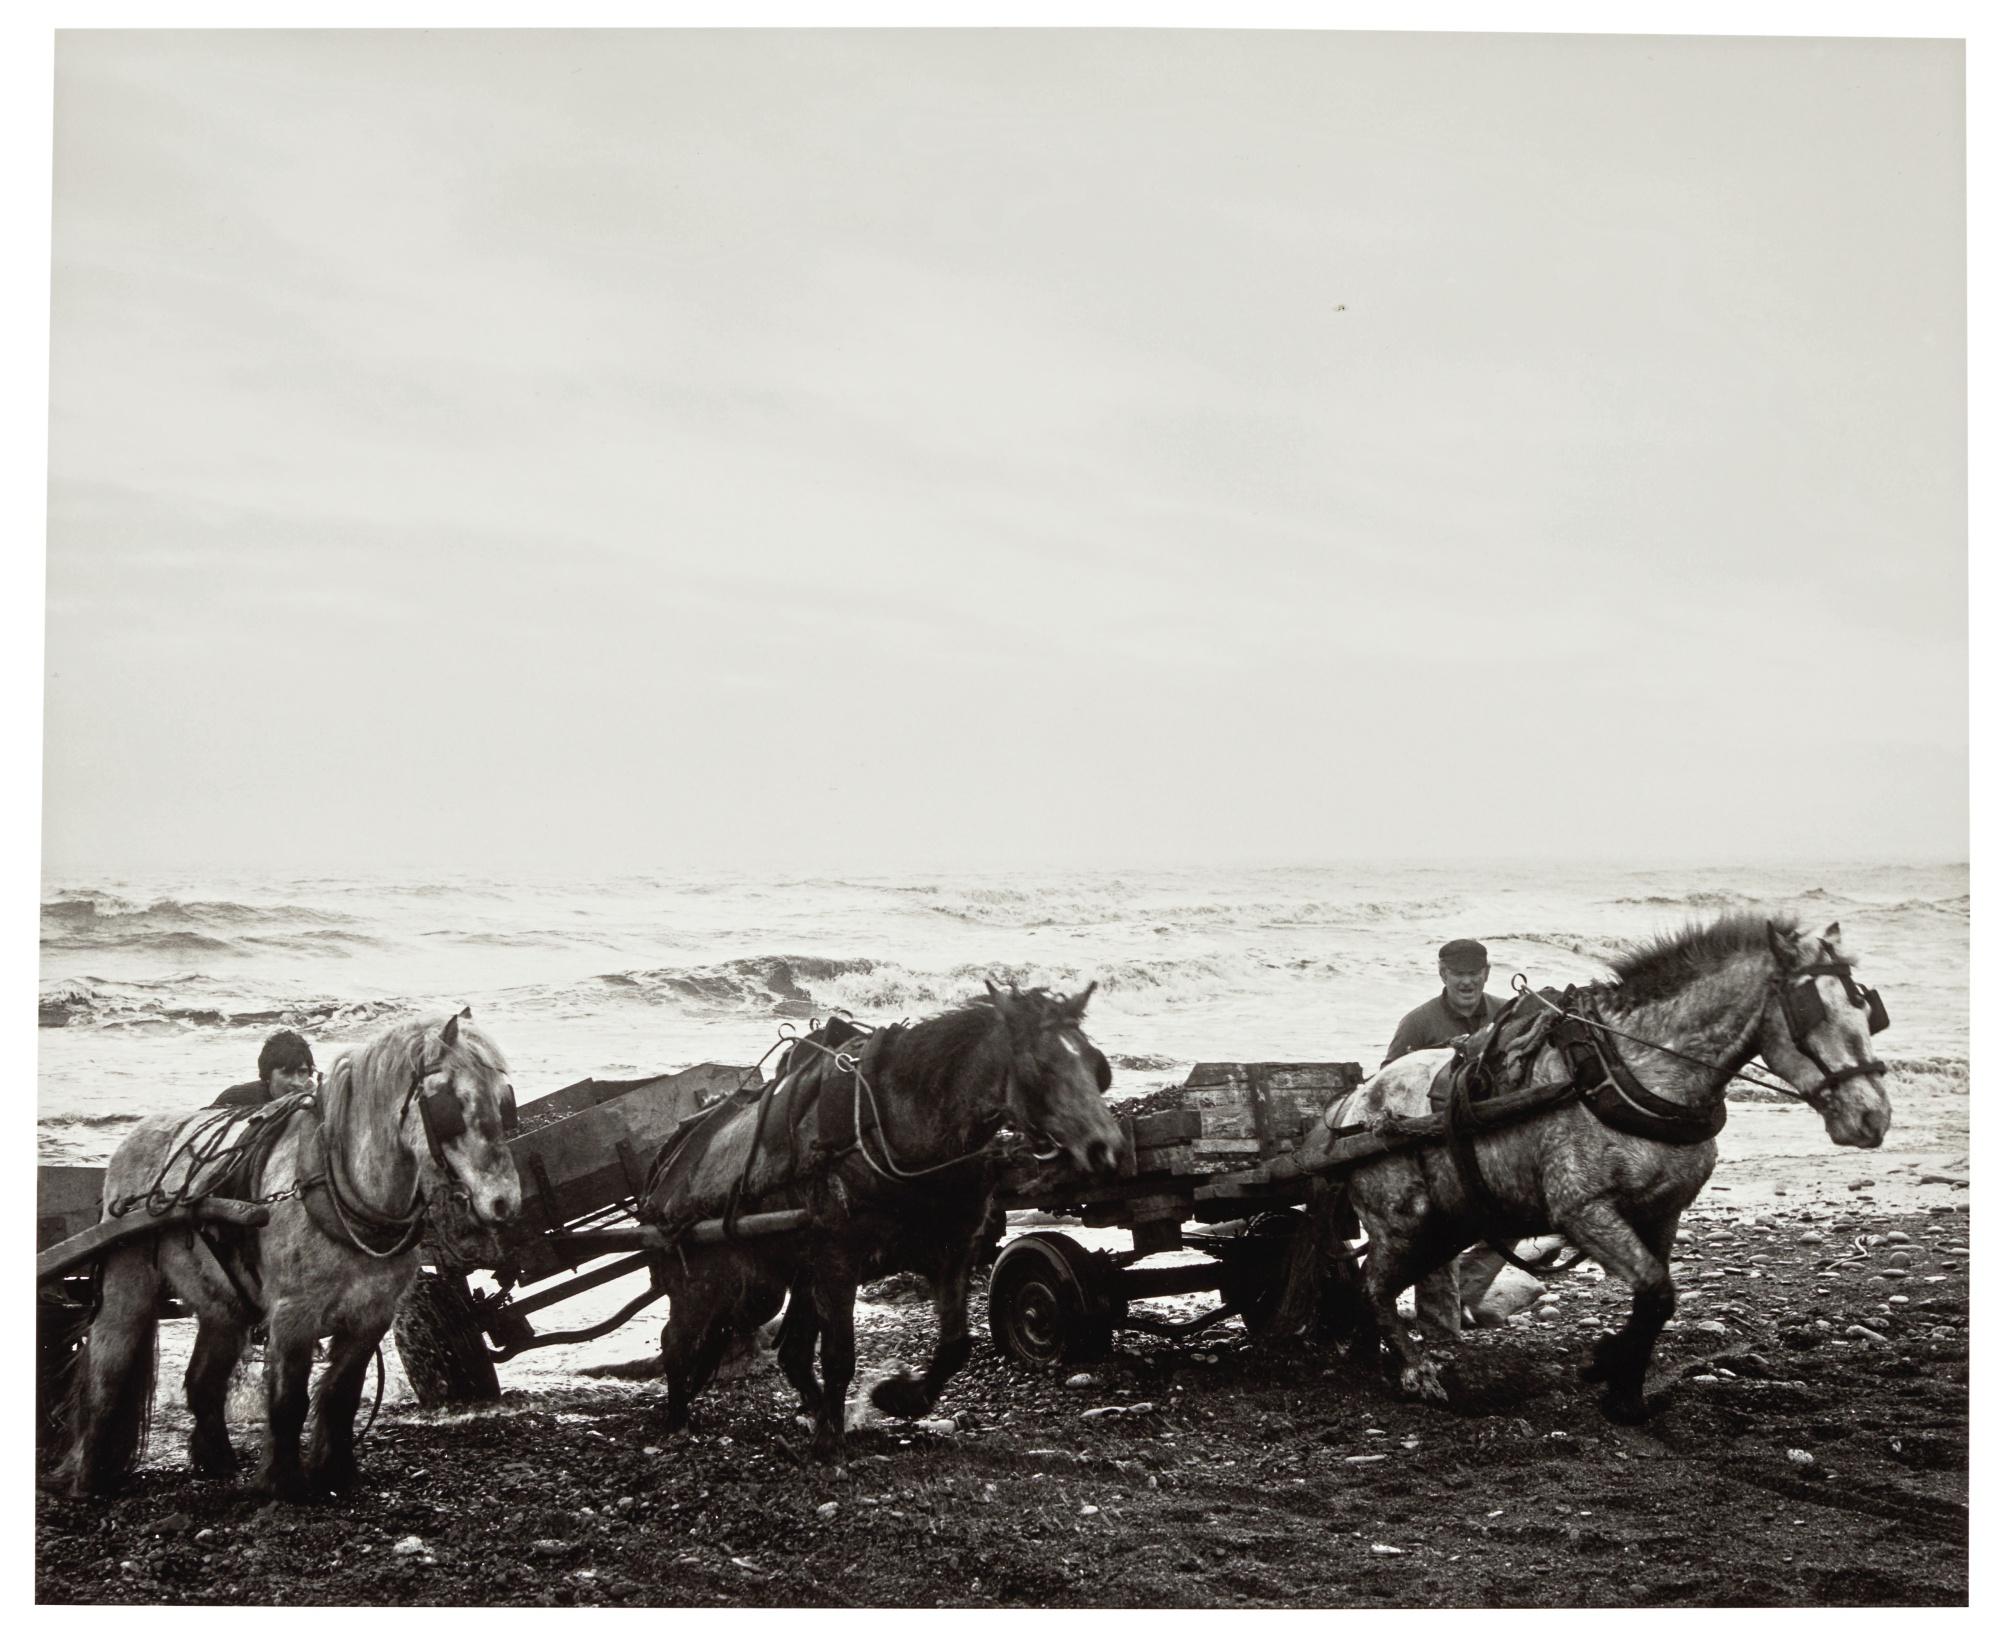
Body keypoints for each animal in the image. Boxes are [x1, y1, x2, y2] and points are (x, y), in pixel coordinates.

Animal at [58, 1009, 521, 1500]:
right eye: (451, 1104)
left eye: (504, 1100)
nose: (504, 1203)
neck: (340, 1188)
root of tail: (134, 1139)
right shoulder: (293, 1315)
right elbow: (288, 1399)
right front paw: (281, 1482)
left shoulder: (371, 1316)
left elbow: (341, 1394)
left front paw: (336, 1473)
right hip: (127, 1288)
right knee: (107, 1370)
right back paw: (89, 1477)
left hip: (223, 1307)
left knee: (203, 1380)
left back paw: (215, 1461)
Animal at [644, 980, 1126, 1461]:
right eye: (1037, 1066)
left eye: (1096, 1065)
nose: (1107, 1148)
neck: (896, 1127)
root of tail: (665, 1172)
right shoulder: (838, 1261)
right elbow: (839, 1355)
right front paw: (830, 1438)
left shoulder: (952, 1250)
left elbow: (955, 1345)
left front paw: (898, 1398)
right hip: (717, 1283)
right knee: (677, 1341)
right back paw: (679, 1418)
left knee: (790, 1353)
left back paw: (816, 1410)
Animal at [1303, 915, 1892, 1422]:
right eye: (1811, 1010)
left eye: (1869, 1012)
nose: (1873, 1116)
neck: (1634, 1068)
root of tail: (1351, 1106)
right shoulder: (1585, 1209)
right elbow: (1655, 1289)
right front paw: (1610, 1367)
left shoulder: (1662, 1212)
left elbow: (1654, 1299)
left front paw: (1622, 1386)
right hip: (1404, 1221)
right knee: (1374, 1286)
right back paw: (1415, 1371)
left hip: (1448, 1222)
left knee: (1376, 1282)